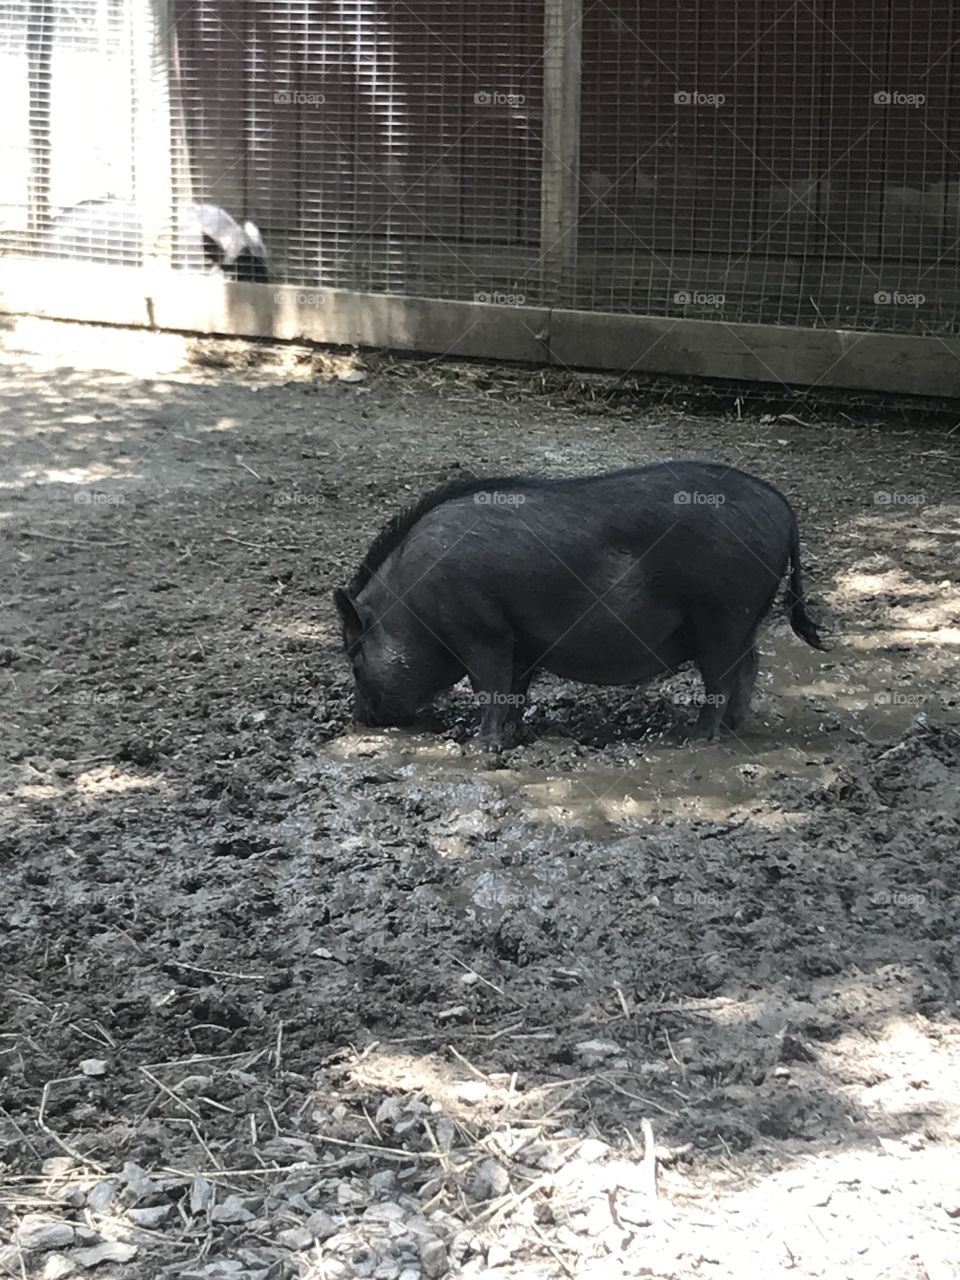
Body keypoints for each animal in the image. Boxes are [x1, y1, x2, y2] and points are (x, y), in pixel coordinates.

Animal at [335, 460, 829, 747]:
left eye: (355, 658)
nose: (359, 720)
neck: (411, 601)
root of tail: (783, 508)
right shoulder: (521, 642)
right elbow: (513, 689)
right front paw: (514, 735)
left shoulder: (481, 630)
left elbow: (489, 686)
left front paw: (481, 748)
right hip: (744, 618)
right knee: (749, 666)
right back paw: (732, 728)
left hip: (723, 614)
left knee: (722, 677)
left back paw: (697, 739)